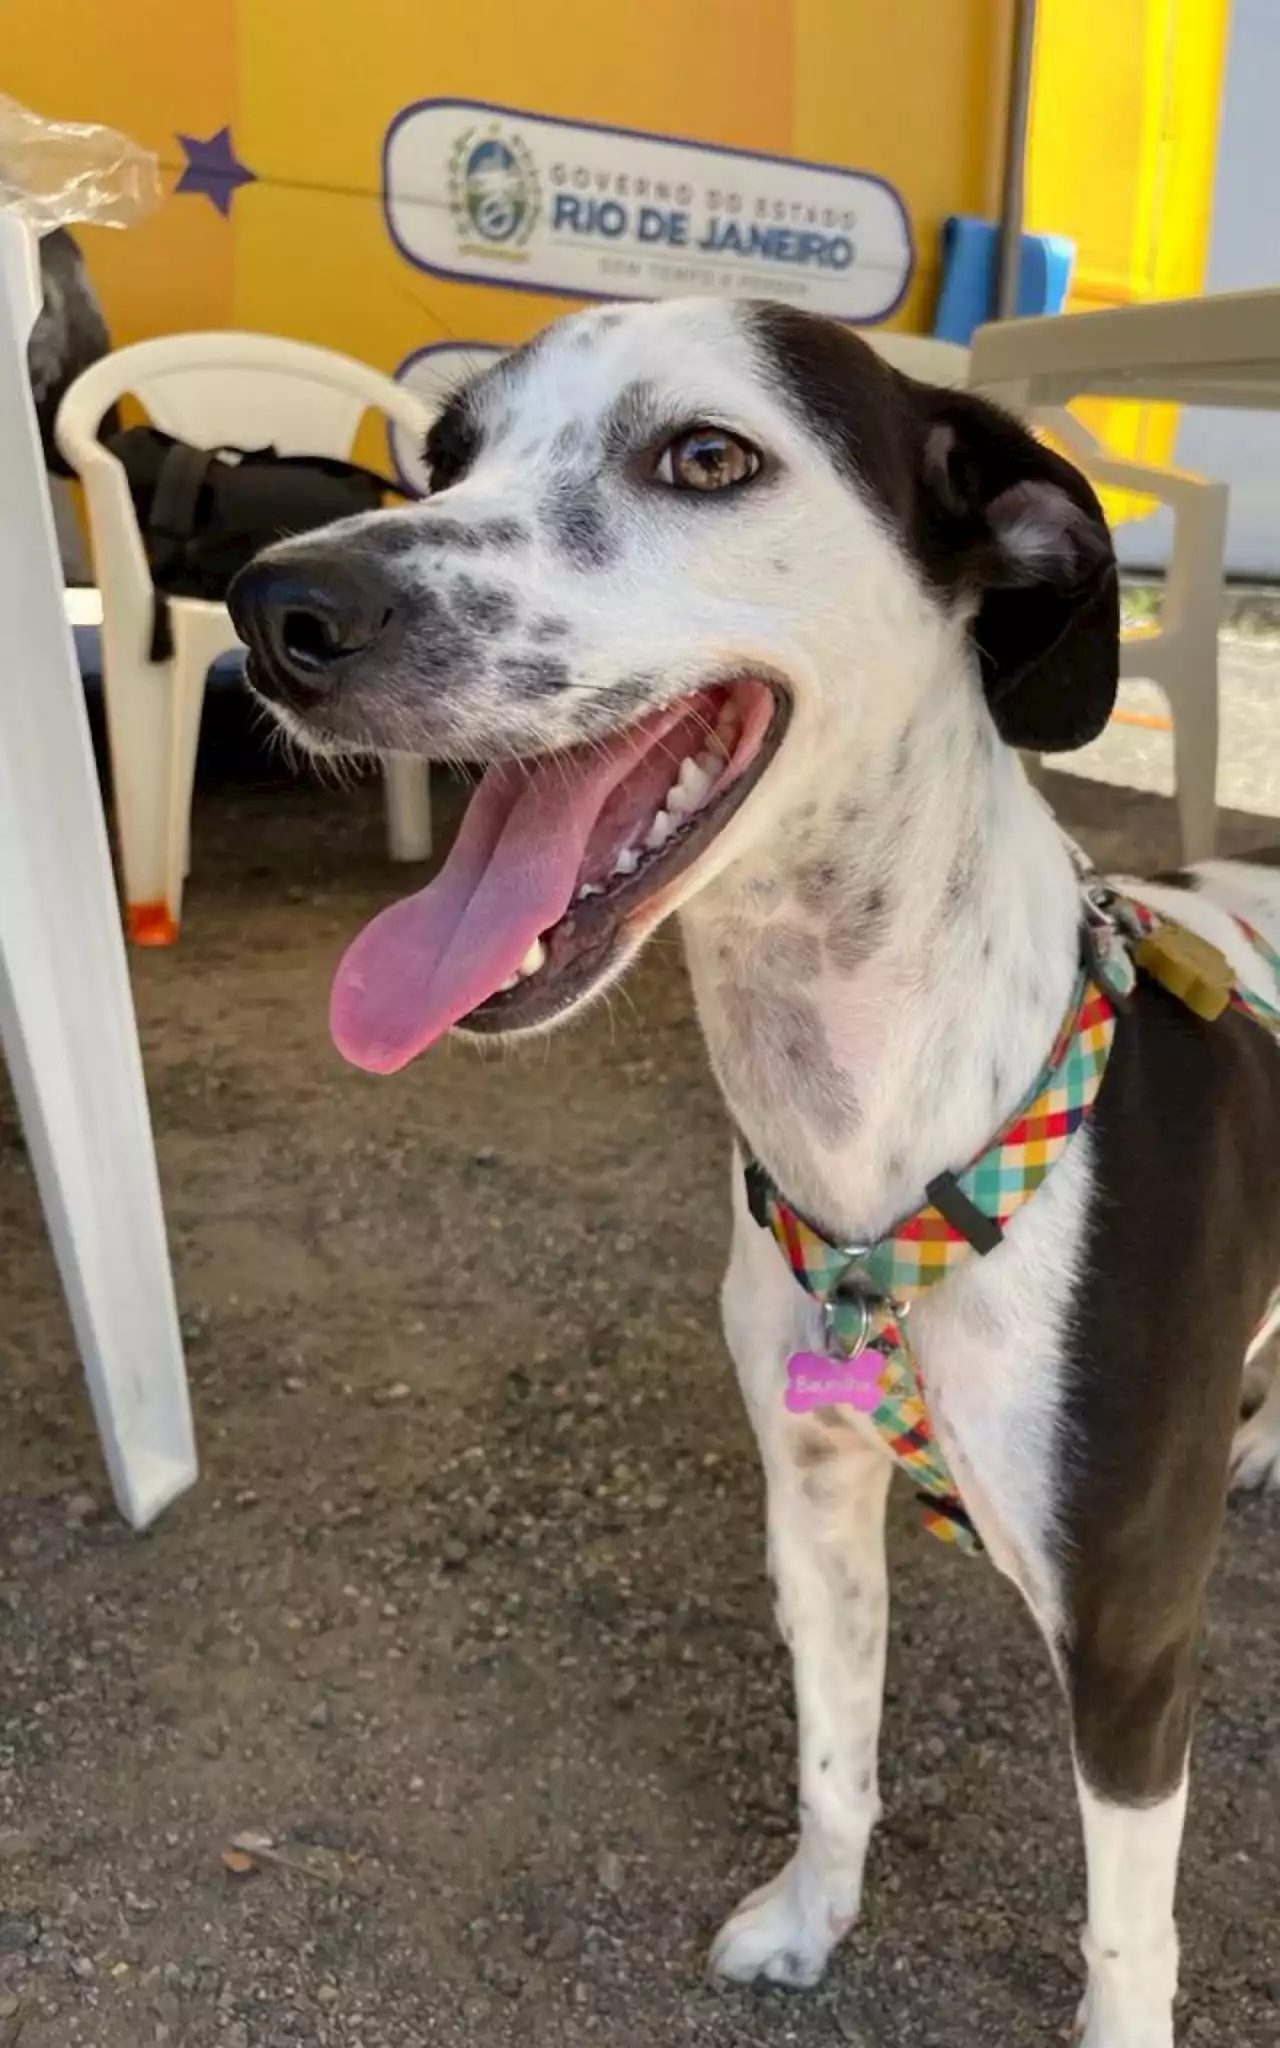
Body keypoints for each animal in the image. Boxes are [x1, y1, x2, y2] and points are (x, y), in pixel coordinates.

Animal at [227, 299, 1277, 2048]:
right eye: (447, 454)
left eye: (707, 458)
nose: (276, 606)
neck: (885, 1130)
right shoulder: (813, 1500)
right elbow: (835, 1756)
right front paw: (809, 1921)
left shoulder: (1131, 1629)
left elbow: (1128, 1935)